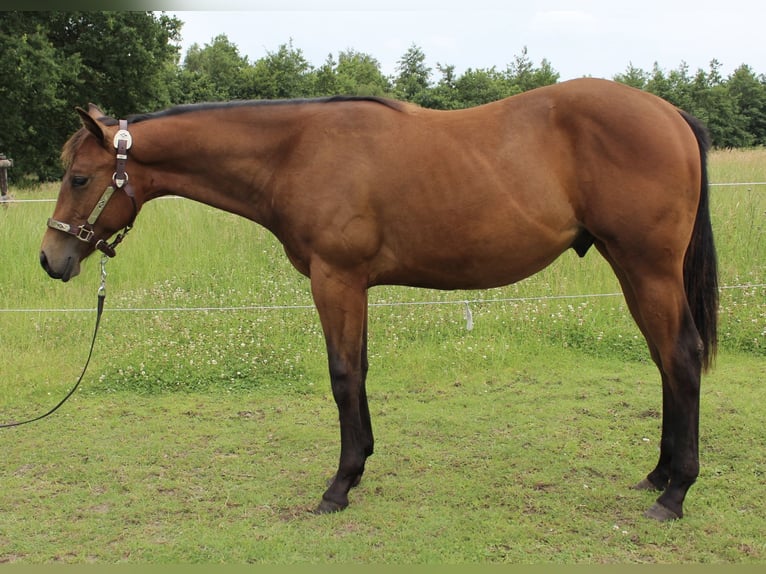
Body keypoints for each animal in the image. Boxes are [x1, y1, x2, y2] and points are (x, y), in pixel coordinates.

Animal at [40, 78, 718, 521]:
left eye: (80, 177)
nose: (52, 258)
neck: (296, 151)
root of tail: (671, 114)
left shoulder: (334, 279)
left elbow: (343, 374)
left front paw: (338, 486)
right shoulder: (352, 285)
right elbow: (359, 371)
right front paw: (360, 463)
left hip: (647, 267)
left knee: (681, 358)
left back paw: (675, 492)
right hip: (632, 269)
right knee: (664, 360)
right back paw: (658, 474)